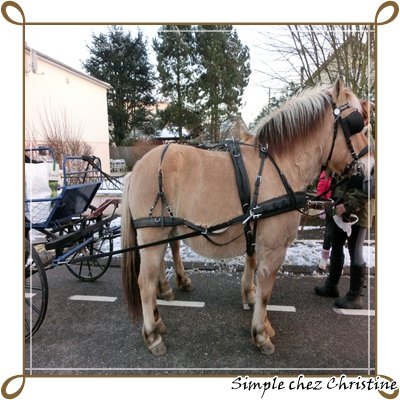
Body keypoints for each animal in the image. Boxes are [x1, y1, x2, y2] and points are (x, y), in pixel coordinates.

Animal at [121, 77, 374, 356]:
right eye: (357, 124)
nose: (370, 171)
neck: (280, 166)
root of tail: (137, 167)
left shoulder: (256, 237)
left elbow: (254, 273)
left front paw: (260, 316)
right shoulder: (273, 248)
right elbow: (265, 290)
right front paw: (261, 333)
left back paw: (158, 317)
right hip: (152, 233)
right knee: (145, 283)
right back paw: (152, 335)